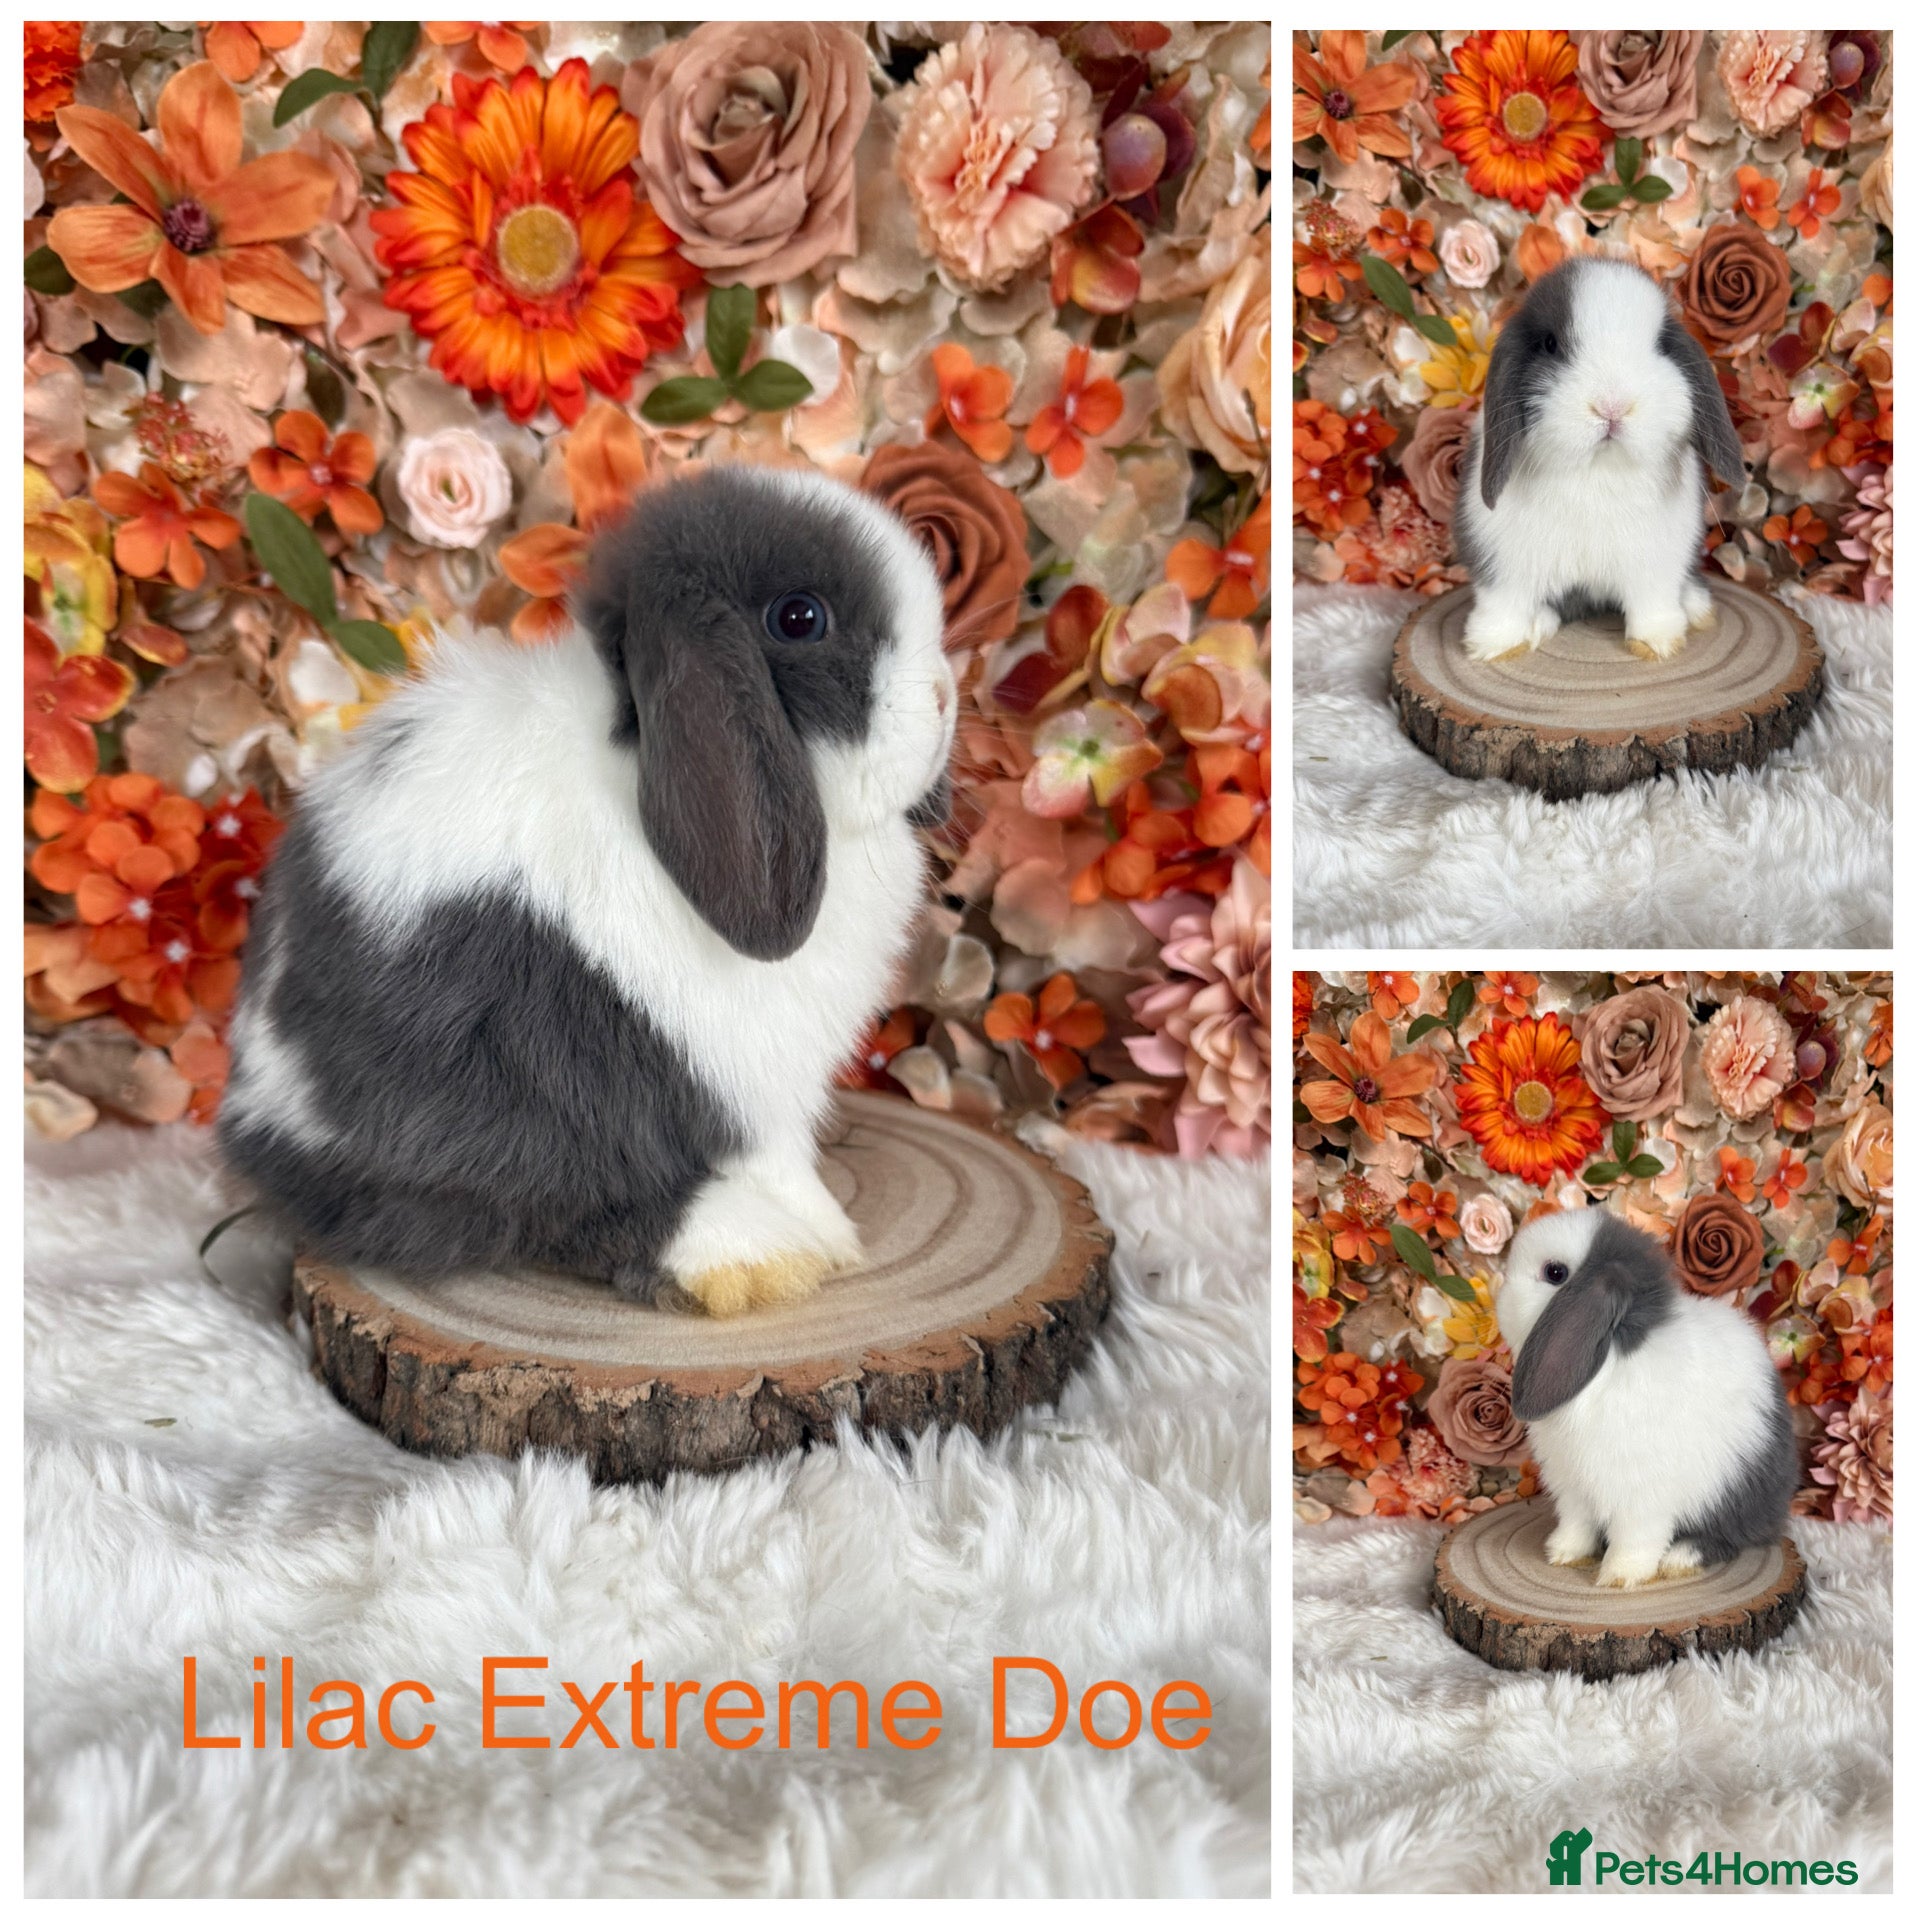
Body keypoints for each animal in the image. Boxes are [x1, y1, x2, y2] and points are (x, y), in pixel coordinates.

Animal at [217, 464, 958, 1317]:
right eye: (800, 619)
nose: (945, 697)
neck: (633, 749)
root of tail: (254, 1112)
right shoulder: (730, 1076)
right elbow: (750, 1163)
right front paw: (814, 1242)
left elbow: (793, 1167)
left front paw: (834, 1232)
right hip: (499, 1091)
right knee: (540, 1202)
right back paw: (748, 1253)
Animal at [1454, 255, 1745, 664]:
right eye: (1550, 344)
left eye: (1660, 345)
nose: (1612, 406)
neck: (1596, 469)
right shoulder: (1501, 560)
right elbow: (1503, 603)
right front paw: (1495, 646)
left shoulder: (1655, 564)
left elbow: (1652, 603)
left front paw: (1657, 644)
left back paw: (1697, 607)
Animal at [1496, 1207, 1797, 1589]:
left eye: (1555, 1273)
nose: (1501, 1295)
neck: (1607, 1360)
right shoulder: (1573, 1488)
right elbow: (1577, 1525)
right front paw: (1562, 1554)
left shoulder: (1641, 1499)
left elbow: (1635, 1539)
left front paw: (1618, 1577)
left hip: (1732, 1495)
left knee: (1726, 1539)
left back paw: (1678, 1559)